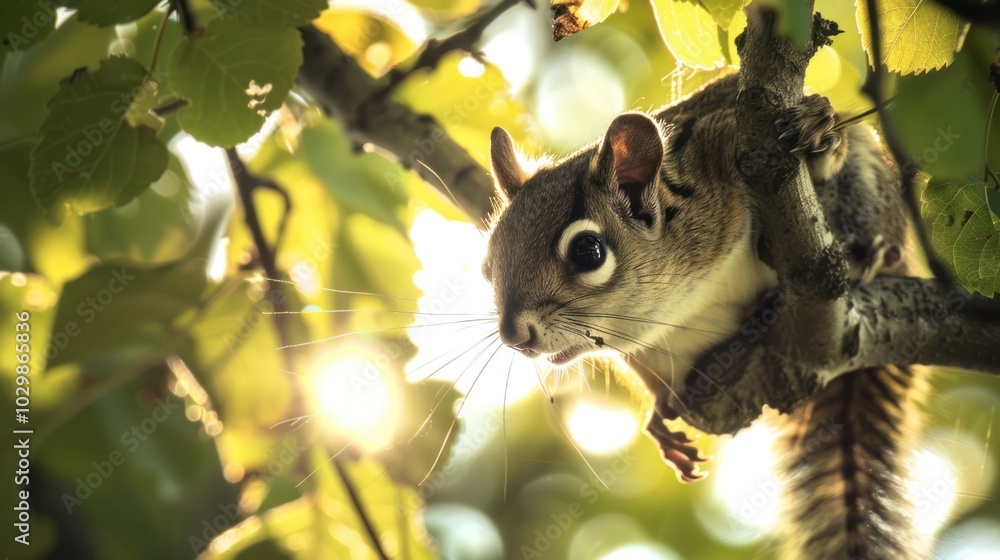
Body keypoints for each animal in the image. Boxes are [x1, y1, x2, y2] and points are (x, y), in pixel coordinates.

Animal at [480, 73, 924, 560]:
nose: (514, 335)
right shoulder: (638, 352)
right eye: (487, 265)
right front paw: (659, 418)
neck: (677, 303)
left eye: (587, 251)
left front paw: (817, 130)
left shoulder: (729, 142)